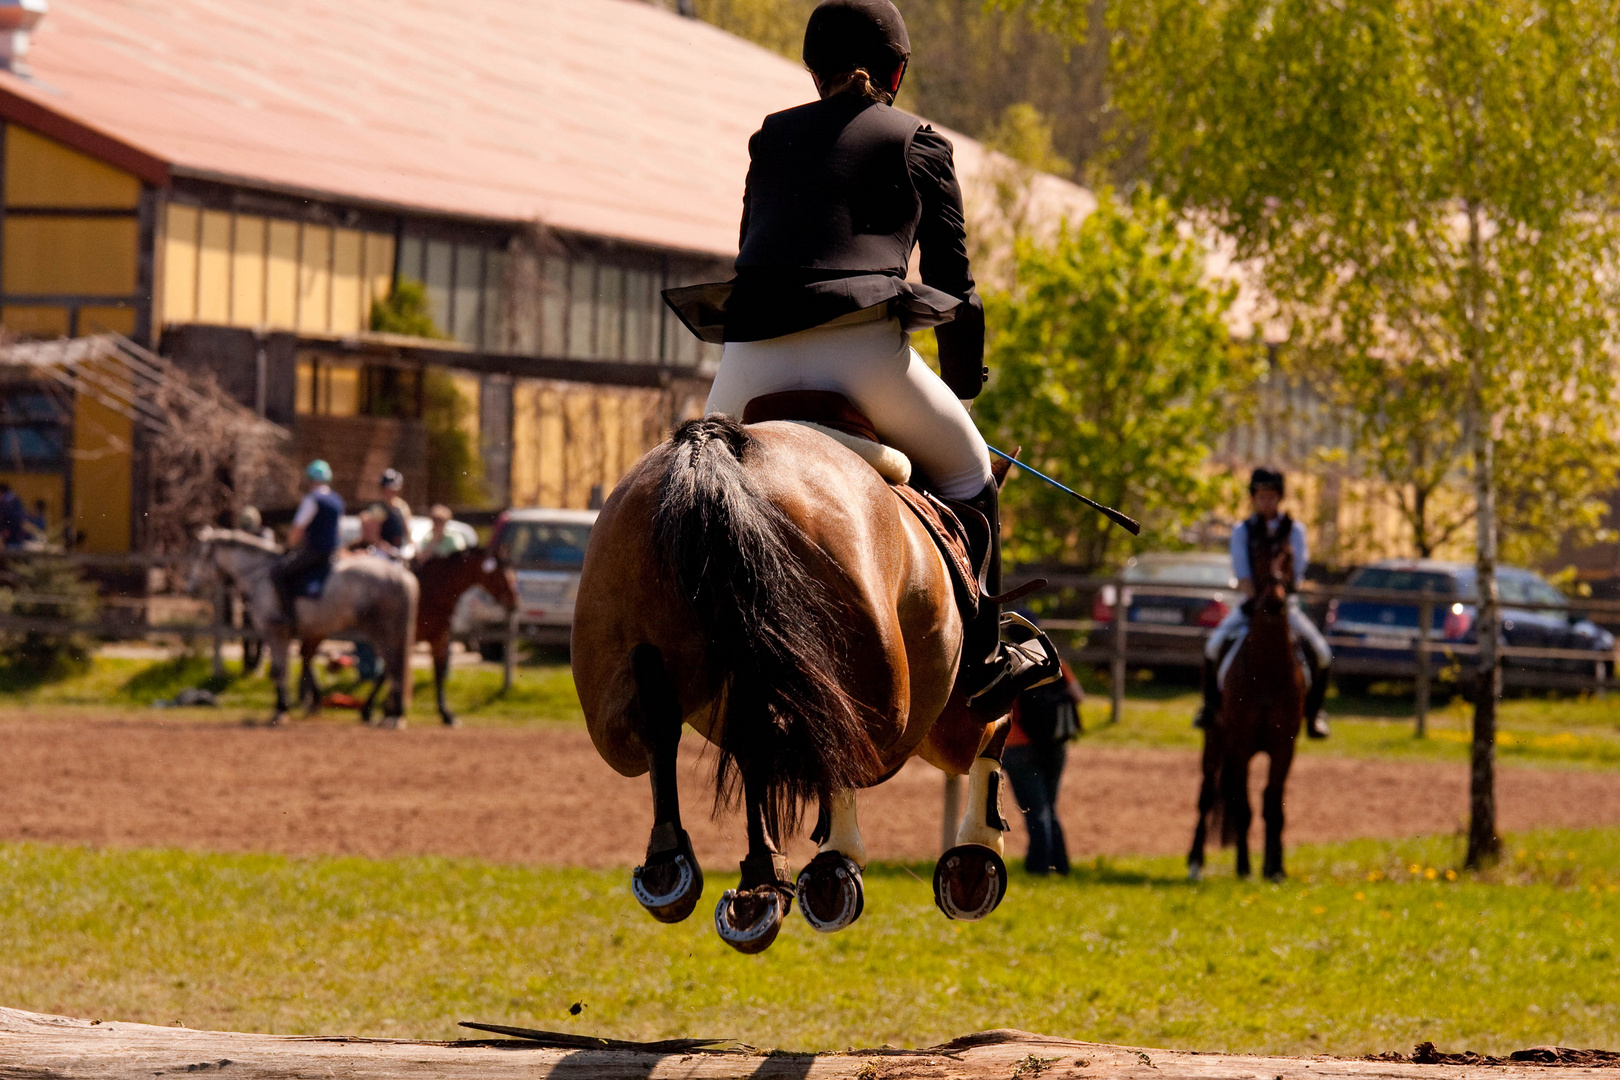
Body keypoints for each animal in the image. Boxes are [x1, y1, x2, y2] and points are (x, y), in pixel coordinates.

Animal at [191, 531, 421, 731]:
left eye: (201, 555)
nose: (189, 585)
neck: (260, 574)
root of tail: (402, 574)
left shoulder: (274, 632)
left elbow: (279, 670)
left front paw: (281, 709)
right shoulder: (311, 632)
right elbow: (304, 660)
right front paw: (311, 703)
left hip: (383, 631)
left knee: (392, 668)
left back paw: (390, 714)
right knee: (390, 669)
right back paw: (387, 713)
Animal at [356, 550, 518, 725]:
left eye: (512, 574)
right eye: (500, 576)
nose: (514, 603)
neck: (432, 592)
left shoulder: (439, 638)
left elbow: (438, 674)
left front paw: (445, 713)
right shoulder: (404, 638)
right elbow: (388, 672)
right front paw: (373, 710)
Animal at [576, 414, 1017, 952]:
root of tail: (716, 449)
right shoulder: (945, 717)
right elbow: (994, 726)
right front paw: (972, 860)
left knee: (676, 724)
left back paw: (685, 868)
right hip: (893, 701)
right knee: (805, 739)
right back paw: (772, 879)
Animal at [1185, 527, 1308, 880]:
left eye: (1288, 554)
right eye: (1256, 554)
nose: (1275, 601)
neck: (1267, 670)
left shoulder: (1284, 747)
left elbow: (1273, 805)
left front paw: (1275, 868)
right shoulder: (1239, 746)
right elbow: (1243, 806)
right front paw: (1244, 867)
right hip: (1215, 742)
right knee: (1207, 795)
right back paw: (1195, 862)